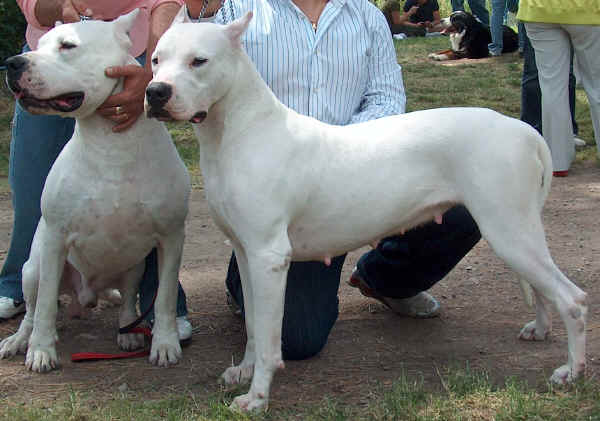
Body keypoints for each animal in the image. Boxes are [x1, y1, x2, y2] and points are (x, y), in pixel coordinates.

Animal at [0, 9, 191, 370]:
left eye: (67, 46)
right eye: (39, 45)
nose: (12, 63)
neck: (111, 146)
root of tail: (85, 296)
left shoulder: (170, 238)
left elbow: (164, 298)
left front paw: (164, 343)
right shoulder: (55, 238)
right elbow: (45, 304)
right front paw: (41, 349)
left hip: (134, 265)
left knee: (128, 301)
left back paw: (129, 332)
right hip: (33, 268)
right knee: (33, 308)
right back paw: (20, 339)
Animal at [148, 11, 588, 412]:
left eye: (199, 61)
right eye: (155, 59)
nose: (155, 92)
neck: (235, 132)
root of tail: (523, 129)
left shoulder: (268, 258)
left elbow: (272, 339)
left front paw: (257, 397)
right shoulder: (246, 253)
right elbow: (255, 326)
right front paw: (244, 371)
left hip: (508, 230)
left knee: (573, 298)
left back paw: (571, 371)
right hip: (516, 233)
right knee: (545, 289)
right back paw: (541, 330)